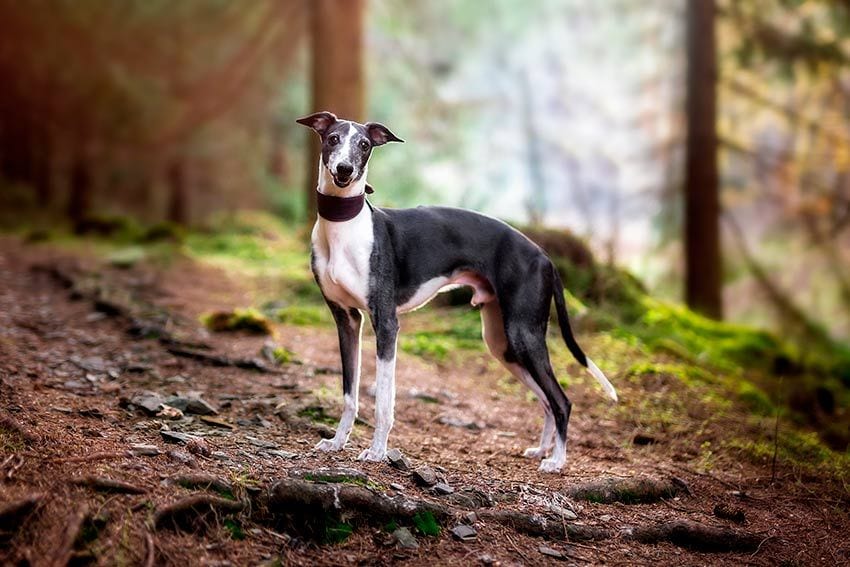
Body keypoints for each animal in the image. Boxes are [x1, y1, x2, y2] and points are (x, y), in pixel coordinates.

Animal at [294, 112, 612, 474]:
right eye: (333, 138)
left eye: (363, 144)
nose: (345, 170)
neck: (344, 228)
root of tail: (545, 257)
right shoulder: (346, 319)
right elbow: (349, 394)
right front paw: (336, 443)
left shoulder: (386, 323)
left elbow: (384, 401)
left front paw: (377, 452)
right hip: (504, 343)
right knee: (546, 400)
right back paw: (542, 450)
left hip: (524, 335)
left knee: (561, 400)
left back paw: (556, 460)